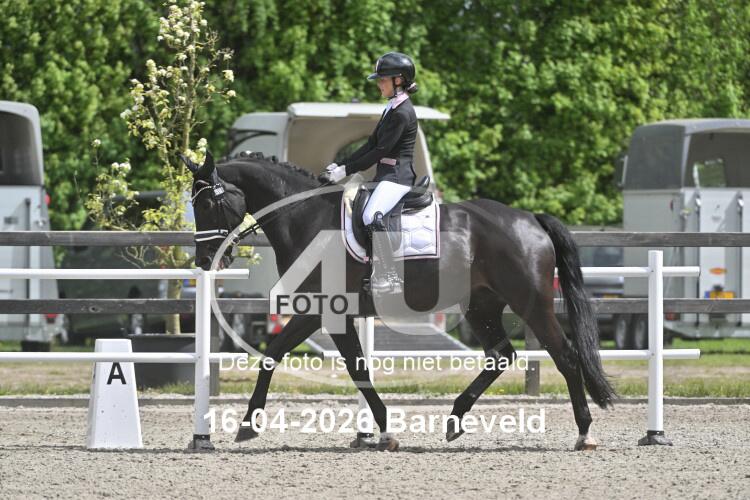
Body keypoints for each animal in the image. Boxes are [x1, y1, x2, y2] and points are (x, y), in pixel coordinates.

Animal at [183, 151, 615, 451]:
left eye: (204, 205)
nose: (204, 259)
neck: (307, 218)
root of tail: (530, 219)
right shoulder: (328, 314)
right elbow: (329, 363)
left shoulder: (323, 311)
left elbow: (295, 357)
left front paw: (248, 425)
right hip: (482, 305)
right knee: (501, 355)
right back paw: (455, 420)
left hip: (530, 303)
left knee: (565, 356)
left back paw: (584, 433)